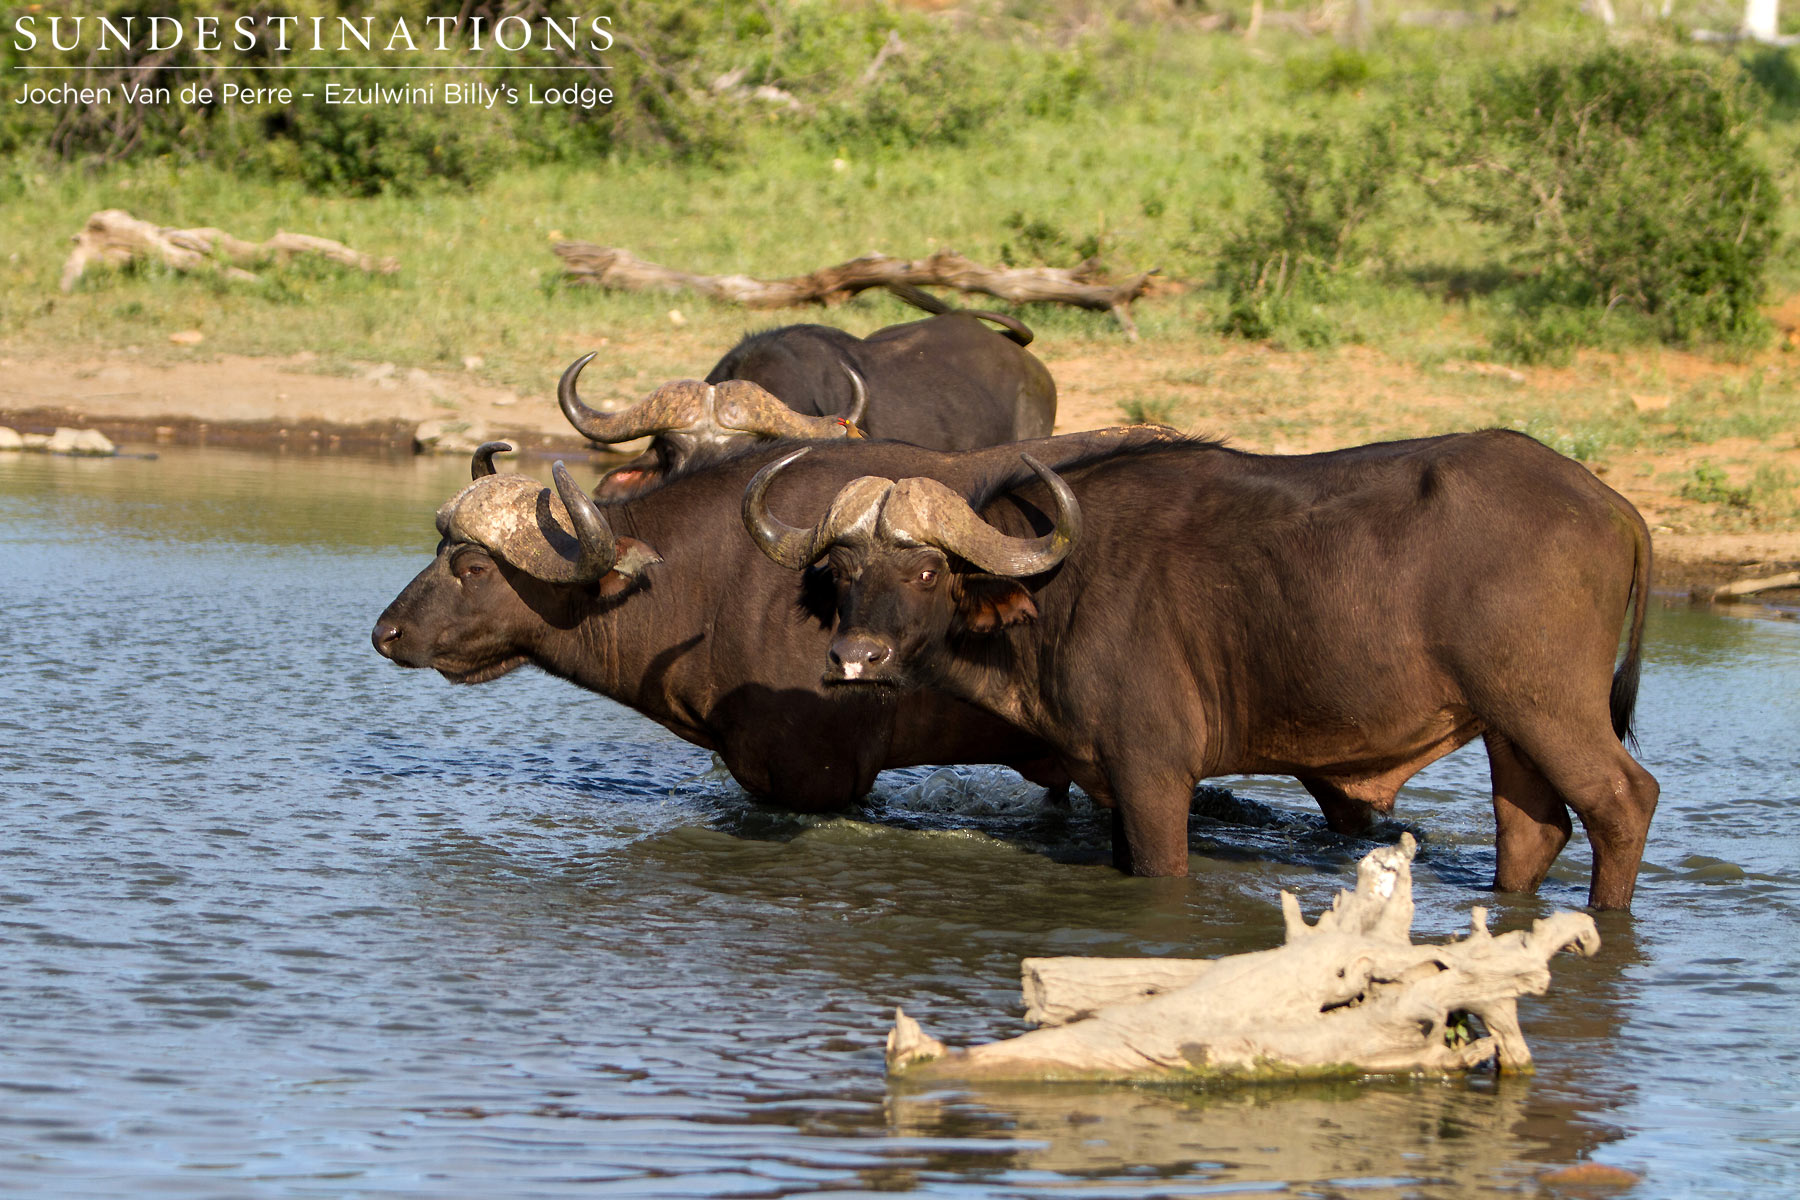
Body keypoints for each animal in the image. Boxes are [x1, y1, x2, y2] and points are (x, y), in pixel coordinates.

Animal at [744, 430, 1660, 909]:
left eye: (930, 571)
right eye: (844, 573)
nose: (854, 660)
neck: (1062, 583)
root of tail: (1612, 504)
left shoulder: (1155, 775)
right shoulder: (1111, 780)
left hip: (1550, 707)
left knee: (1623, 800)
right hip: (1508, 724)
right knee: (1534, 827)